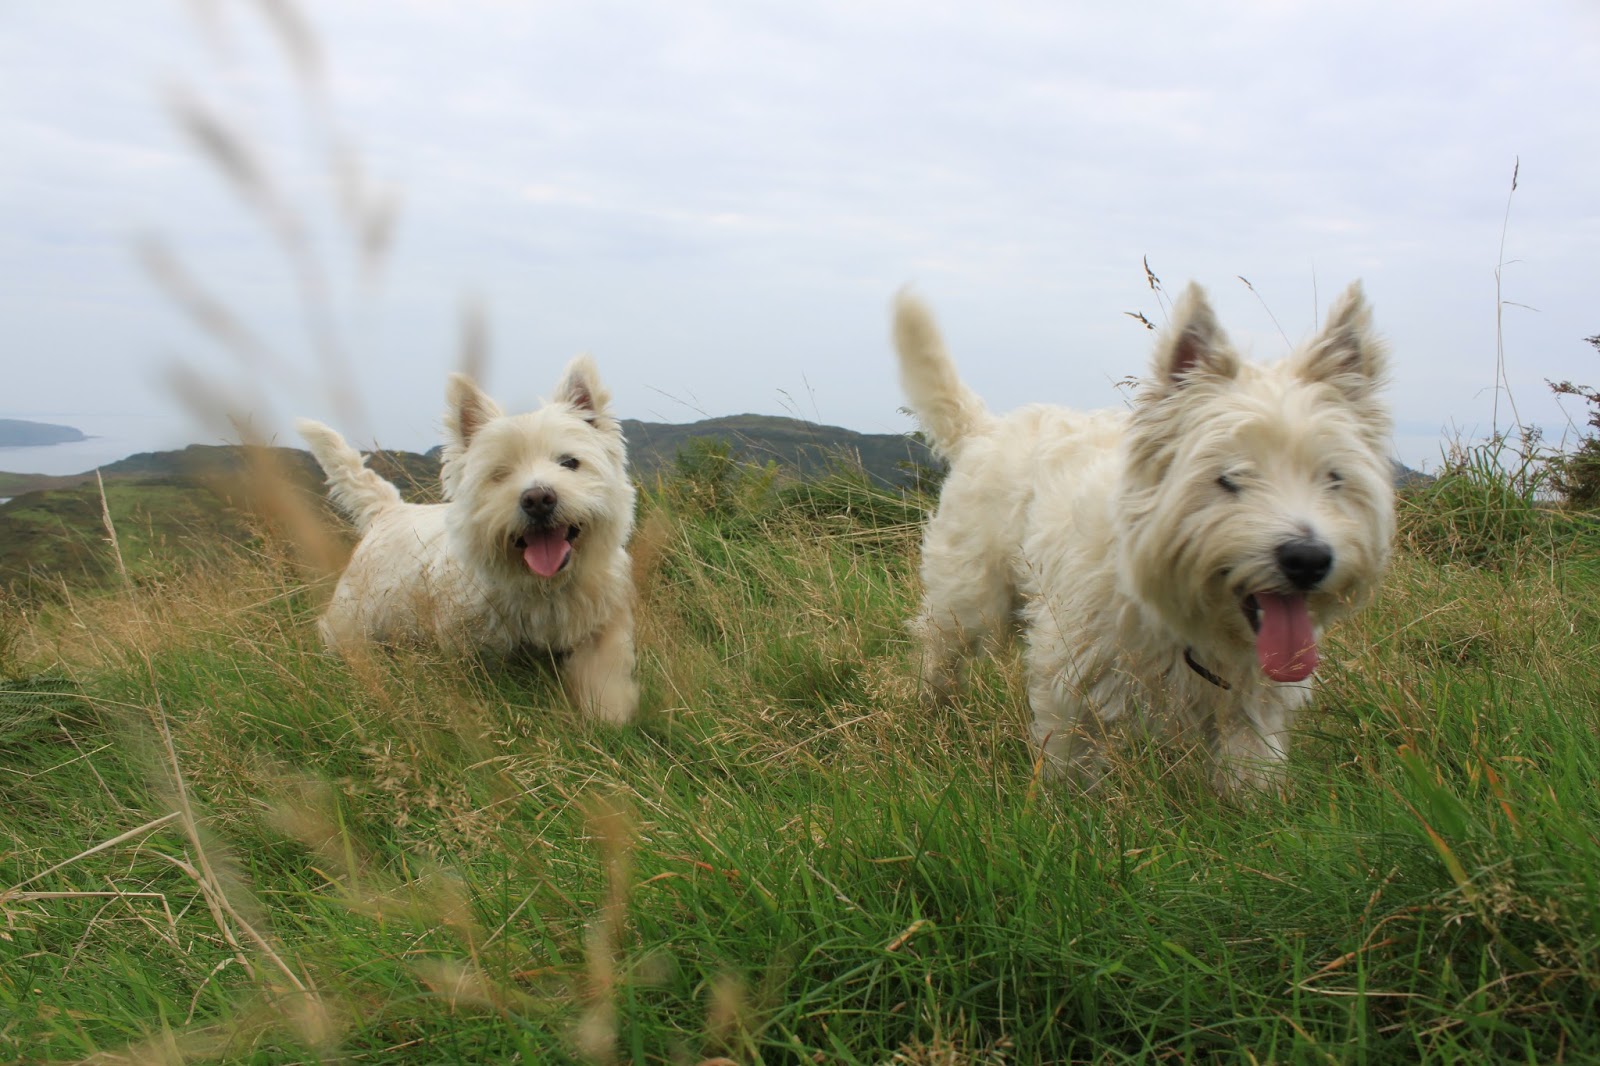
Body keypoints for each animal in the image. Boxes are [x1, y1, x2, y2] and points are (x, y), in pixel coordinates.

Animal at [296, 357, 639, 724]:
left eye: (570, 462)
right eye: (499, 474)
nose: (537, 499)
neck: (541, 585)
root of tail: (388, 509)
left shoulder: (601, 624)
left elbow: (603, 672)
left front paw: (610, 712)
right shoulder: (471, 646)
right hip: (356, 618)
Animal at [892, 282, 1394, 792]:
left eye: (1333, 478)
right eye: (1229, 477)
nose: (1309, 559)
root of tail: (985, 430)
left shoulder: (1251, 703)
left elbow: (1249, 773)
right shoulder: (1072, 673)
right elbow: (1070, 762)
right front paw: (1063, 805)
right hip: (968, 595)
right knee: (938, 649)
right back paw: (927, 708)